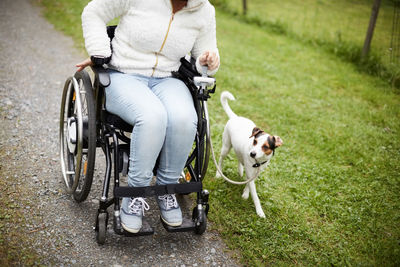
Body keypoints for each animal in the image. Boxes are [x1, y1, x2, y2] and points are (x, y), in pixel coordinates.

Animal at [216, 91, 284, 219]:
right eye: (255, 142)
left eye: (266, 147)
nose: (252, 153)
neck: (258, 162)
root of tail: (235, 117)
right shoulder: (250, 170)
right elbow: (255, 195)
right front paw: (259, 211)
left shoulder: (256, 173)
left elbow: (249, 183)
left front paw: (246, 193)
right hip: (226, 147)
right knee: (221, 159)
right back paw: (218, 173)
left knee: (239, 158)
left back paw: (240, 170)